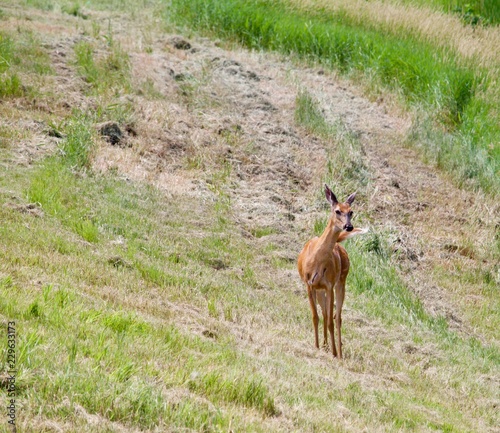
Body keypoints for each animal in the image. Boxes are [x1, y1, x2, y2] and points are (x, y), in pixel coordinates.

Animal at [296, 184, 368, 356]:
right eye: (337, 211)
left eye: (351, 211)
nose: (349, 226)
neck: (316, 260)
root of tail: (339, 245)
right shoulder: (309, 284)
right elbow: (315, 317)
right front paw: (316, 346)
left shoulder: (329, 285)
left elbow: (330, 321)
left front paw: (334, 353)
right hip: (320, 289)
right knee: (325, 314)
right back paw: (325, 345)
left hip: (341, 280)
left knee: (337, 317)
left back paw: (339, 351)